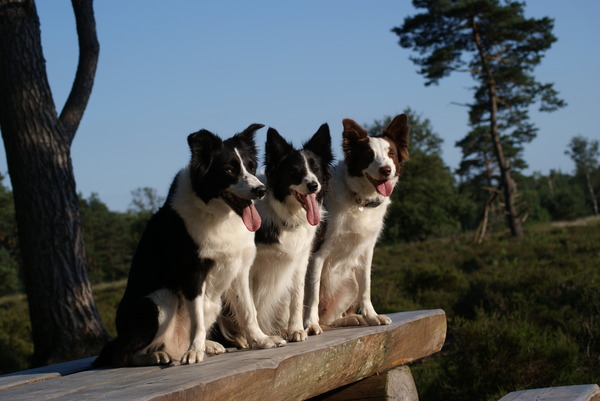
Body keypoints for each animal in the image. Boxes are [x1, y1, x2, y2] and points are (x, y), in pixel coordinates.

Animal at [95, 124, 286, 366]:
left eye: (252, 167)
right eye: (229, 170)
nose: (261, 190)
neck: (218, 214)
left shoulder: (240, 270)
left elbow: (248, 310)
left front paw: (261, 340)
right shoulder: (193, 273)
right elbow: (197, 319)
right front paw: (194, 351)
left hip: (213, 302)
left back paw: (206, 345)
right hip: (160, 298)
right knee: (124, 353)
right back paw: (158, 355)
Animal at [219, 123, 332, 346]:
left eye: (315, 169)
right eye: (293, 171)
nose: (313, 185)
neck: (286, 216)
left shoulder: (300, 260)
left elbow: (296, 297)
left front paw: (296, 330)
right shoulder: (248, 268)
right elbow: (250, 306)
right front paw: (260, 338)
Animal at [302, 114, 410, 332]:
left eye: (391, 153)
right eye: (369, 155)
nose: (386, 170)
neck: (359, 200)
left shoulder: (367, 250)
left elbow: (366, 286)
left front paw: (371, 316)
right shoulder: (316, 253)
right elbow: (312, 293)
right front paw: (310, 324)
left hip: (349, 284)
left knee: (329, 319)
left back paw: (351, 319)